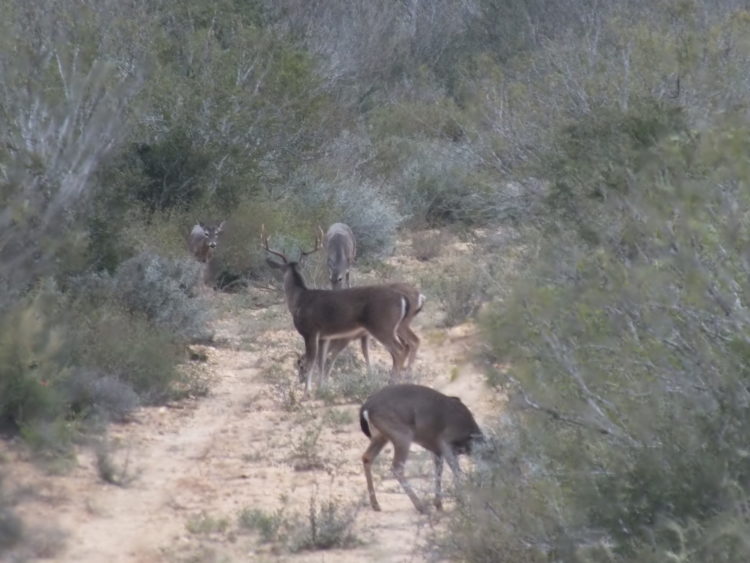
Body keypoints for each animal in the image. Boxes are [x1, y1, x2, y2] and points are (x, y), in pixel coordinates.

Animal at [260, 227, 412, 394]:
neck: (299, 300)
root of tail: (402, 298)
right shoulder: (324, 336)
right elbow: (321, 361)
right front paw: (321, 387)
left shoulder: (310, 332)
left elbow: (311, 362)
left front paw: (307, 391)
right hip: (389, 328)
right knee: (405, 347)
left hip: (382, 326)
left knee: (399, 350)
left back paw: (393, 382)